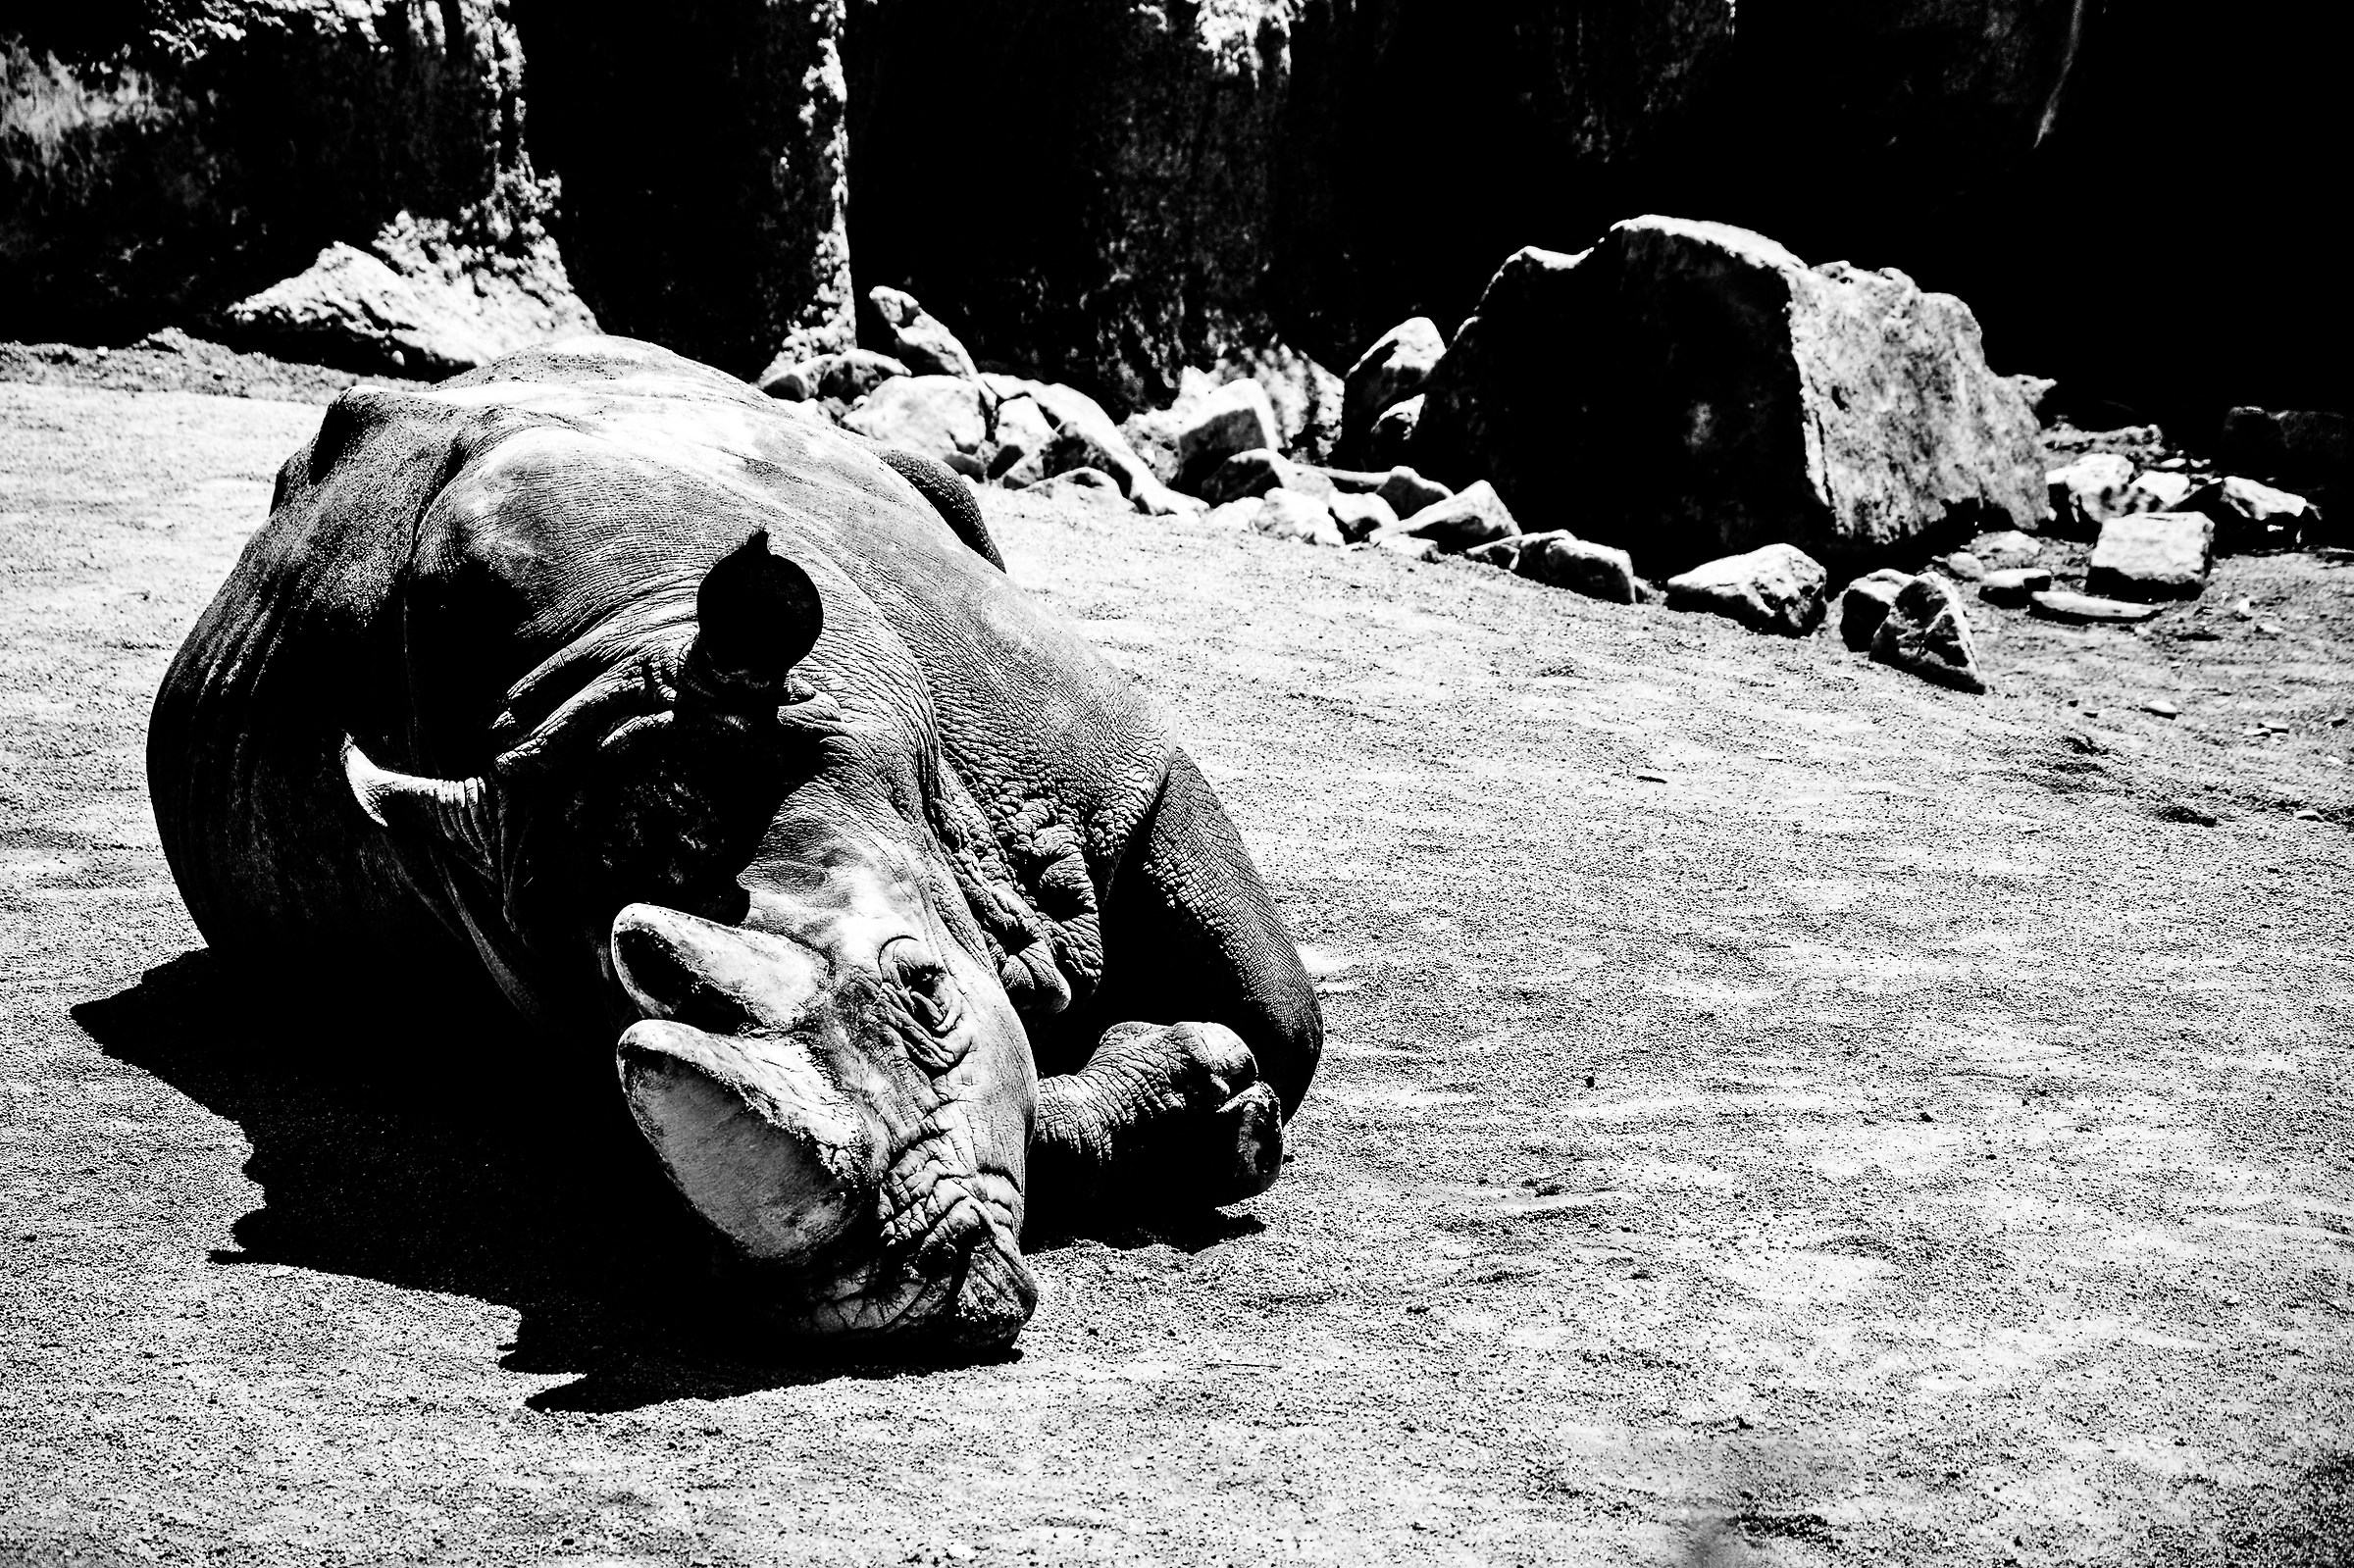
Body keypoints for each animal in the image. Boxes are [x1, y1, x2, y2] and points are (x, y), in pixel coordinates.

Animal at [148, 337, 1322, 1349]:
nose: (896, 1293)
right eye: (628, 1030)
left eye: (927, 991)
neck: (614, 657)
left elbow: (1280, 1016)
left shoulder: (1116, 762)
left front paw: (1229, 1102)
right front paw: (1202, 1103)